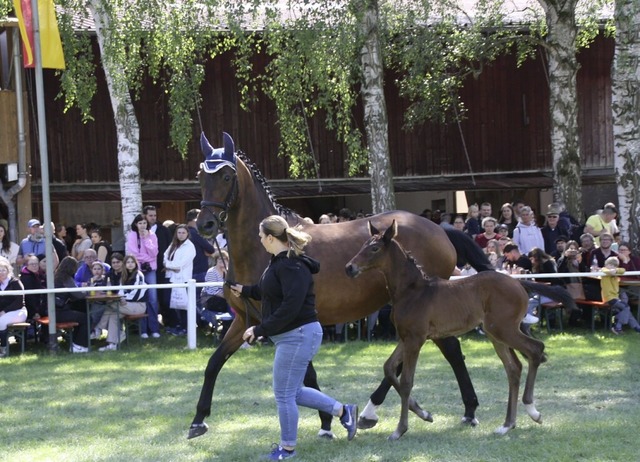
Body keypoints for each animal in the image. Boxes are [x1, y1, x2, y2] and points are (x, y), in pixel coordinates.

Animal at [344, 221, 544, 440]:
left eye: (374, 248)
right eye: (363, 244)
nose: (349, 267)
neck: (411, 290)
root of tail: (519, 284)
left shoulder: (416, 339)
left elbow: (406, 381)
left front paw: (400, 429)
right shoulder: (406, 337)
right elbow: (388, 368)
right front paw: (424, 413)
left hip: (503, 329)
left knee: (535, 349)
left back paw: (533, 411)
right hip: (495, 334)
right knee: (513, 368)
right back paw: (507, 424)